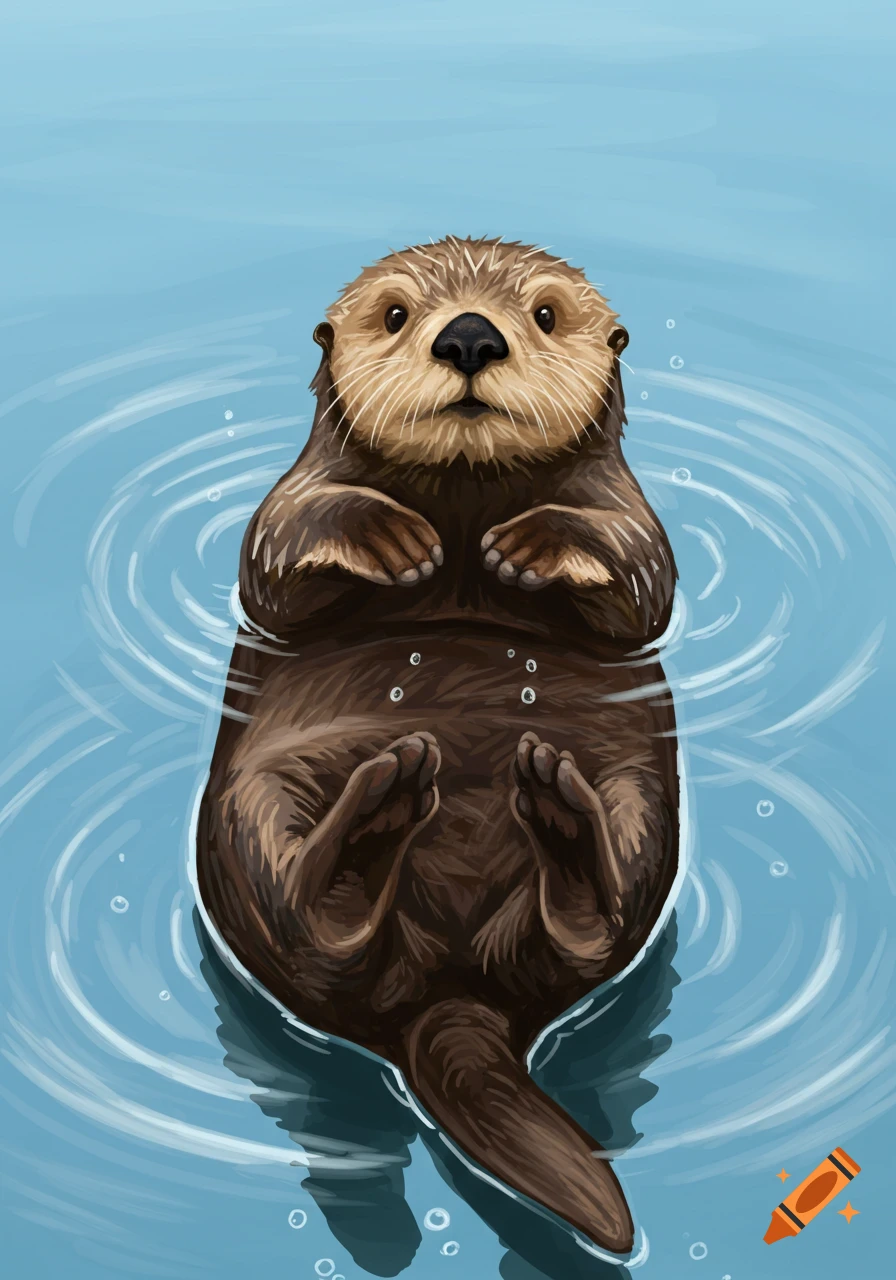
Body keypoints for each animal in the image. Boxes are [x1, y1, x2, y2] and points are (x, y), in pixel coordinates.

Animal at [196, 236, 678, 1256]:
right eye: (394, 313)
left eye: (544, 314)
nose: (468, 336)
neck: (462, 509)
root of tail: (450, 995)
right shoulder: (293, 494)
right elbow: (273, 556)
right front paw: (388, 534)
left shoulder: (628, 509)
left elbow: (641, 575)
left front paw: (530, 543)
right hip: (254, 809)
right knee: (305, 924)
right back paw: (378, 822)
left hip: (639, 803)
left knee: (596, 918)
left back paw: (557, 818)